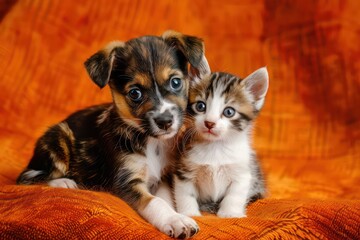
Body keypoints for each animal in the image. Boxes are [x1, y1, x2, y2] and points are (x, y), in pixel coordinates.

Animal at [16, 30, 211, 238]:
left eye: (175, 82)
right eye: (135, 93)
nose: (165, 121)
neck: (152, 143)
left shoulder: (165, 175)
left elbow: (164, 197)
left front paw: (175, 215)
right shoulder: (126, 182)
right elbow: (155, 202)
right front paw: (175, 221)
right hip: (58, 139)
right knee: (27, 177)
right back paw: (64, 183)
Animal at [173, 67, 268, 218]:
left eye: (229, 111)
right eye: (200, 106)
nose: (209, 123)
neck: (215, 146)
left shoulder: (242, 172)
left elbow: (234, 195)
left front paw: (230, 213)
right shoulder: (184, 168)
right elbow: (185, 194)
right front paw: (189, 213)